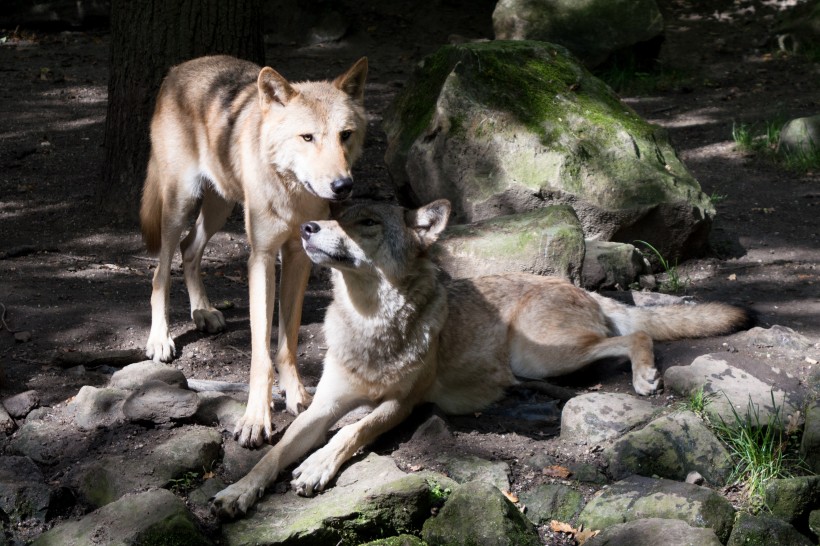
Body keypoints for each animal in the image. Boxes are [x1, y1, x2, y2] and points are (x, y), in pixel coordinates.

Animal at [140, 54, 368, 446]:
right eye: (308, 137)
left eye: (346, 135)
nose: (343, 185)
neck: (293, 192)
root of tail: (178, 69)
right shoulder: (261, 257)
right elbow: (261, 353)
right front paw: (255, 420)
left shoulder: (297, 257)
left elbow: (287, 340)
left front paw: (297, 396)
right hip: (179, 205)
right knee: (160, 272)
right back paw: (160, 340)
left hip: (219, 206)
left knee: (190, 249)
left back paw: (204, 312)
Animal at [210, 198, 748, 516]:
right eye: (336, 211)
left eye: (365, 222)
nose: (307, 226)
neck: (371, 322)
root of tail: (579, 287)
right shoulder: (323, 406)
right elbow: (274, 454)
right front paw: (239, 492)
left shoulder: (400, 405)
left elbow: (352, 432)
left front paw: (317, 466)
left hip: (537, 355)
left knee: (636, 336)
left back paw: (643, 377)